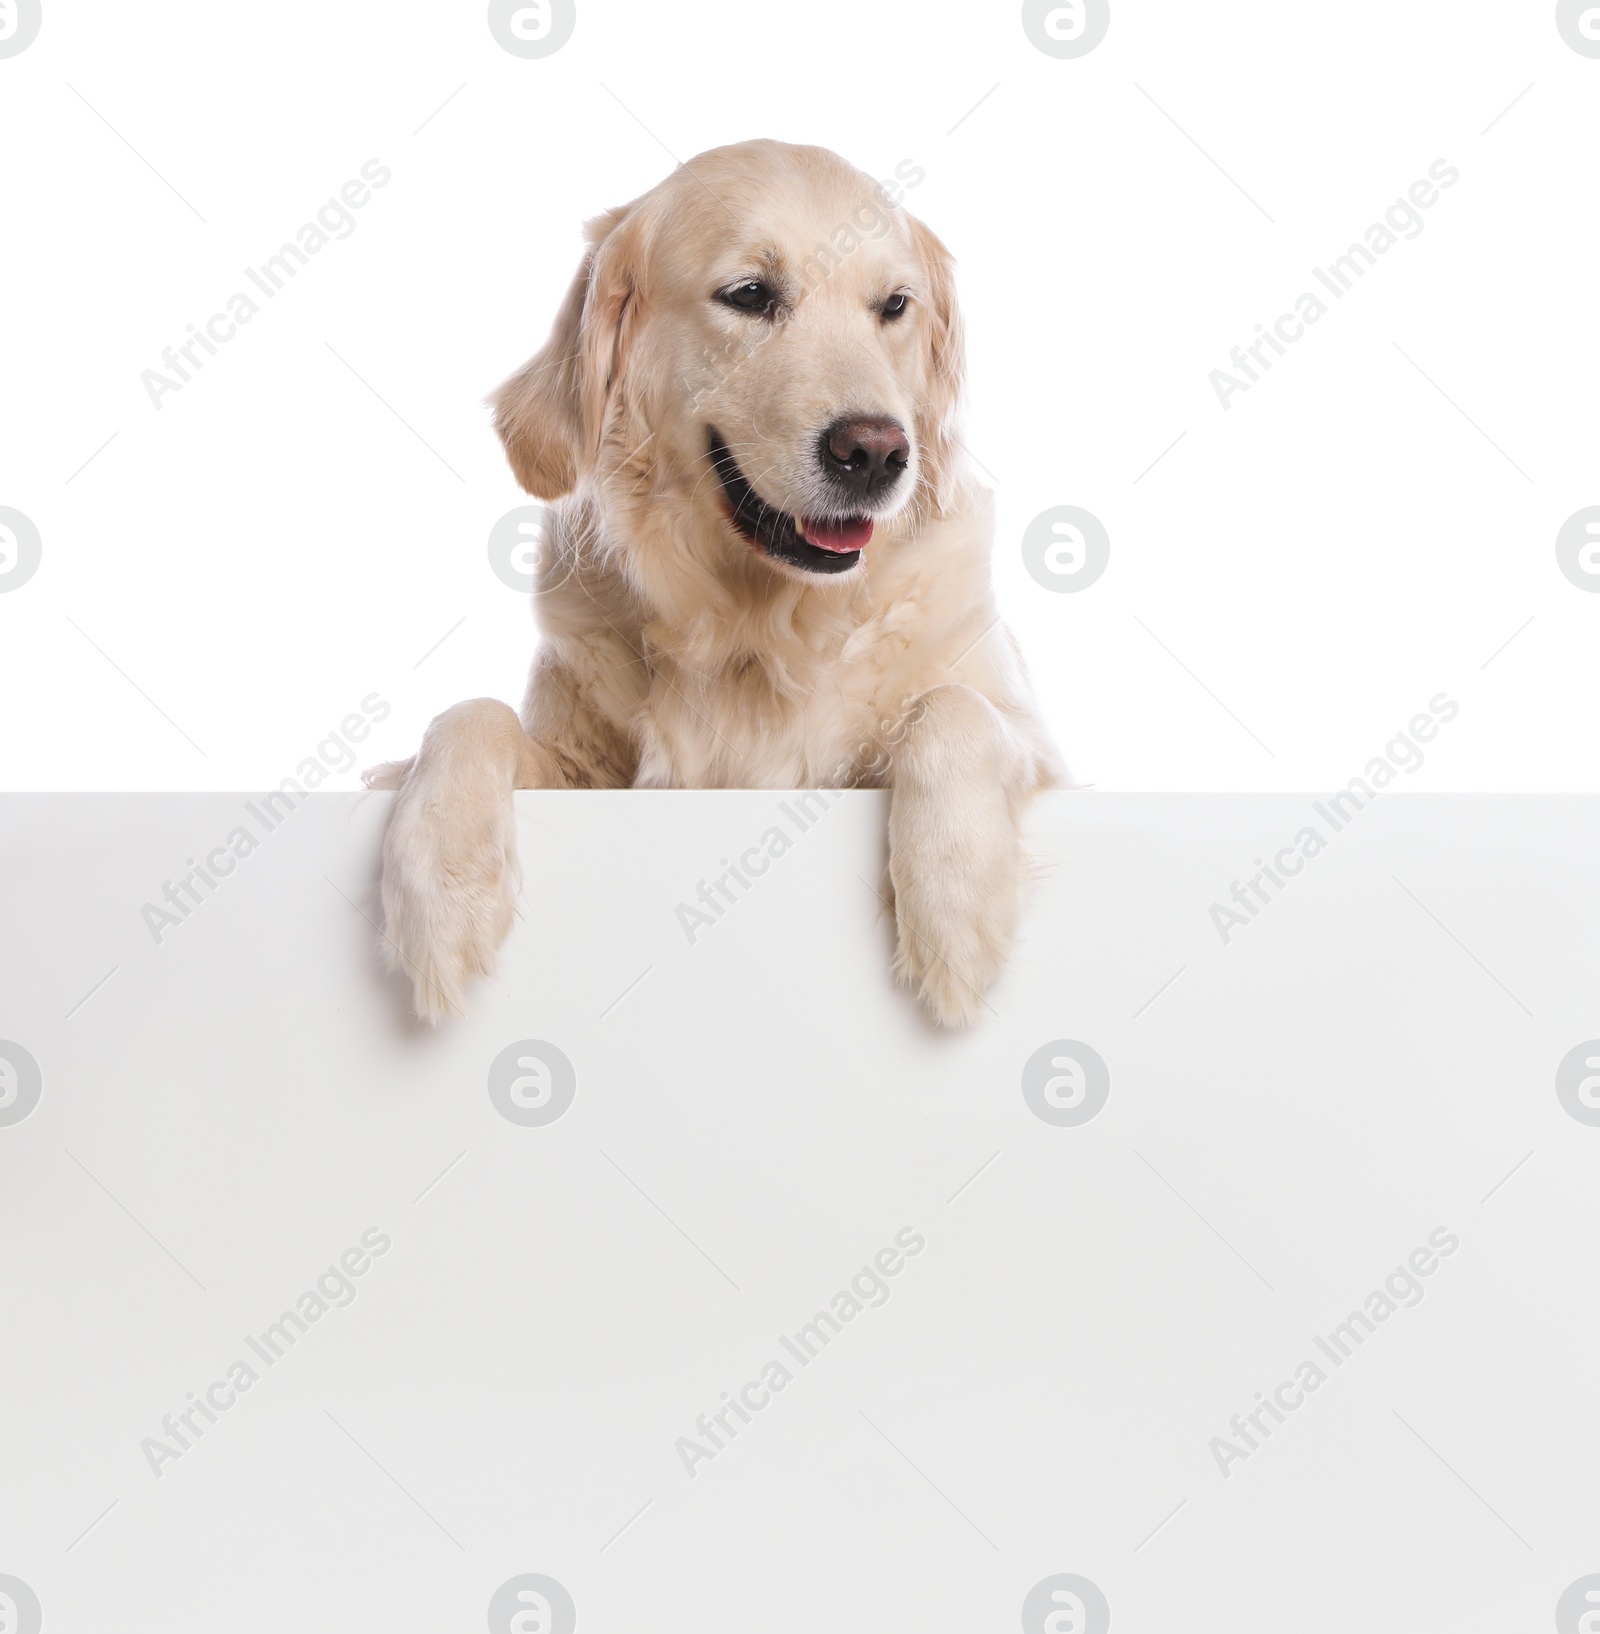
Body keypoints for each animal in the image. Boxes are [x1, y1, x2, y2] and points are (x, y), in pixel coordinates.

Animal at [364, 147, 1065, 1026]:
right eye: (751, 295)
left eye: (894, 306)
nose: (875, 452)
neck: (757, 628)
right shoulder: (590, 775)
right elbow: (466, 716)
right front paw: (439, 892)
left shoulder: (1029, 737)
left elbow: (952, 711)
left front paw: (957, 907)